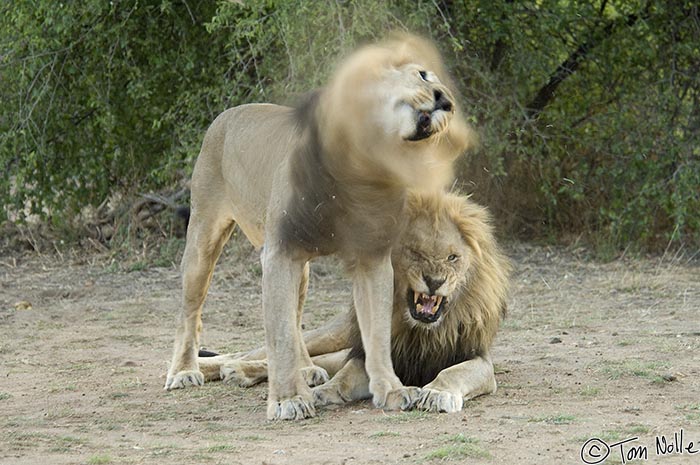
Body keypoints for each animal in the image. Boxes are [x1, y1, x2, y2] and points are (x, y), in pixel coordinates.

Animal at [164, 31, 474, 416]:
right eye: (423, 74)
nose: (445, 100)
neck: (358, 165)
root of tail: (228, 113)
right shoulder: (281, 253)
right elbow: (280, 334)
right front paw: (287, 401)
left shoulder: (372, 258)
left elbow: (375, 333)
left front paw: (391, 390)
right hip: (204, 236)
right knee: (190, 310)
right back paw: (183, 371)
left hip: (302, 271)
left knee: (296, 316)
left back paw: (307, 370)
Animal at [197, 190, 508, 412]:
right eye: (415, 253)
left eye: (453, 257)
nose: (434, 281)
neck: (420, 330)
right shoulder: (362, 354)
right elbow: (346, 376)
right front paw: (323, 393)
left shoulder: (477, 358)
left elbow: (453, 373)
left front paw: (437, 393)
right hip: (330, 336)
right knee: (258, 353)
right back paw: (224, 368)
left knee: (311, 363)